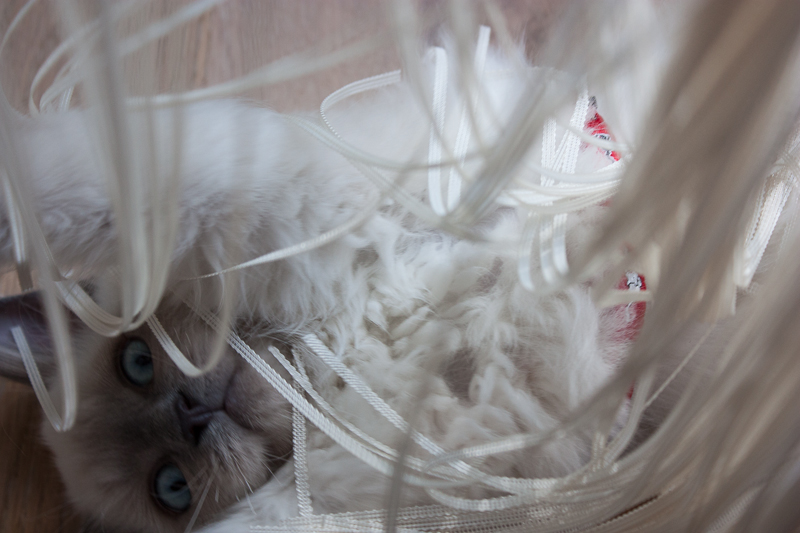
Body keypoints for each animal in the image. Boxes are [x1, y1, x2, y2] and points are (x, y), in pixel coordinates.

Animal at [0, 45, 636, 532]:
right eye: (172, 487)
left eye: (135, 361)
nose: (192, 413)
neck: (337, 350)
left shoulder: (273, 207)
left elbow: (61, 193)